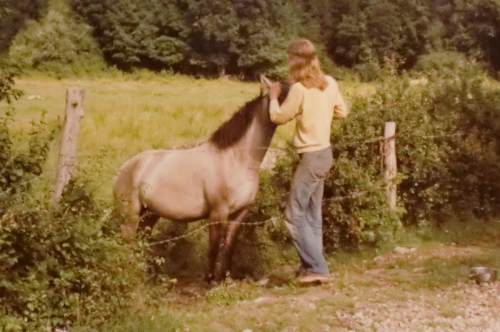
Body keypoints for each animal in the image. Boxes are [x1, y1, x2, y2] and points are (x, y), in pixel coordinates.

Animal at [111, 74, 288, 280]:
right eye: (282, 93)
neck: (234, 159)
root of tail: (123, 169)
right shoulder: (217, 213)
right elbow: (213, 247)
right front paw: (210, 280)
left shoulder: (240, 213)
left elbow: (229, 246)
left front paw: (226, 278)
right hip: (130, 215)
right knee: (126, 243)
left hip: (149, 214)